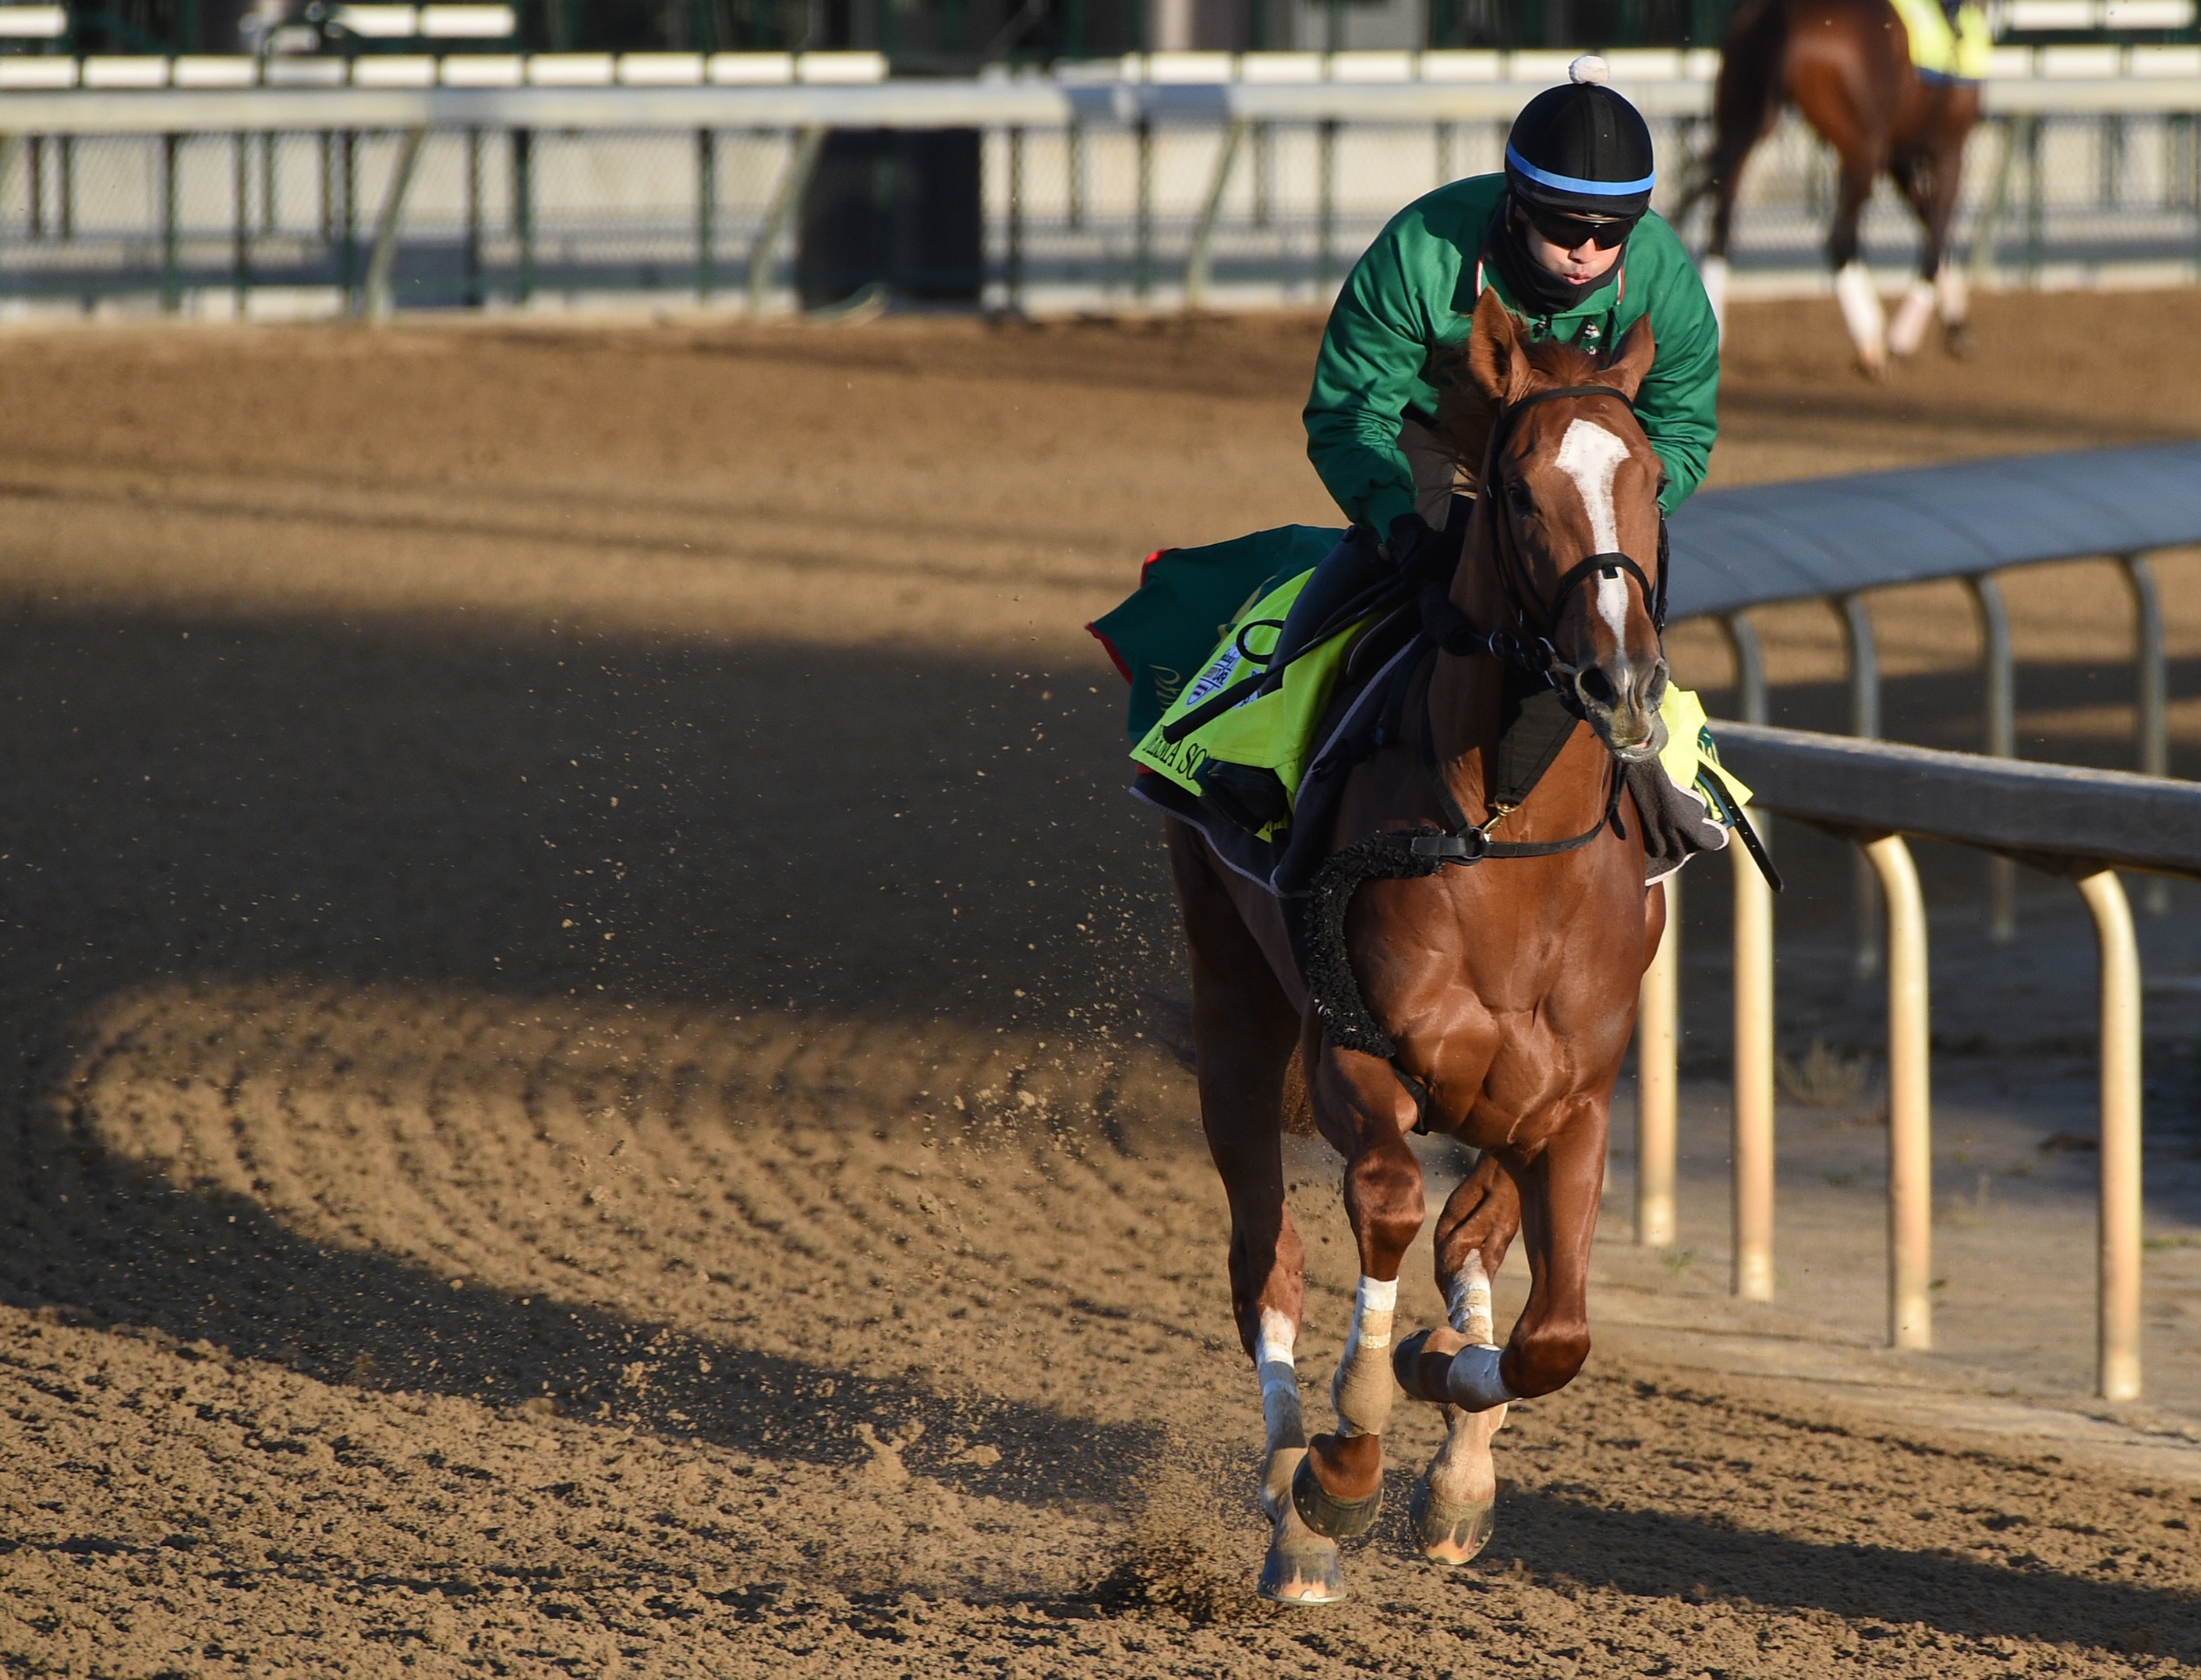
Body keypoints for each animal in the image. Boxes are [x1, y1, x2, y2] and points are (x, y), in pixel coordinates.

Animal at [1170, 286, 1664, 1603]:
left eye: (1648, 474)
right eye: (1518, 491)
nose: (1619, 676)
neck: (1509, 848)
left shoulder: (1570, 1100)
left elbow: (1550, 1331)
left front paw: (1448, 1415)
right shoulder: (1356, 1053)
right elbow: (1388, 1207)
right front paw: (1347, 1454)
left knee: (1463, 1237)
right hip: (1230, 999)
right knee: (1266, 1256)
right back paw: (1292, 1507)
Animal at [1681, 0, 1980, 374]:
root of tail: (1783, 11)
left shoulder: (1899, 155)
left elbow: (1928, 220)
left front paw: (1956, 319)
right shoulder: (1947, 148)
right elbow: (1938, 231)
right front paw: (1905, 336)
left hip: (1743, 121)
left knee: (1720, 227)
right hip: (1861, 148)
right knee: (1839, 234)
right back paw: (1872, 339)